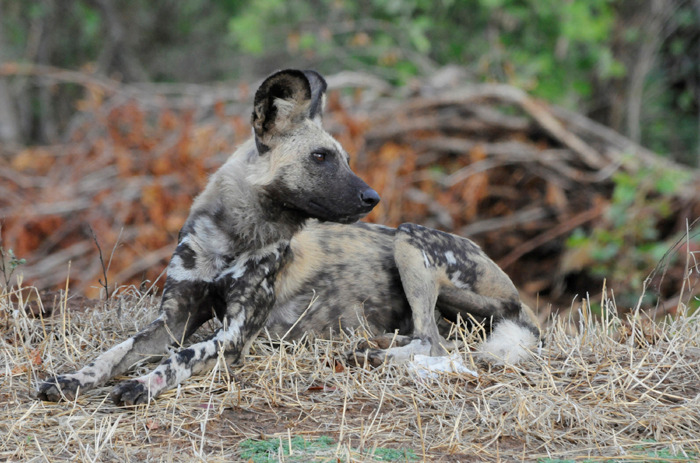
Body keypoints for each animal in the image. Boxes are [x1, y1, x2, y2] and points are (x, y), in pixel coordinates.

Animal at [37, 69, 540, 406]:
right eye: (321, 157)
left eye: (344, 157)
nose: (372, 197)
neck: (232, 239)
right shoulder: (171, 322)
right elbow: (113, 352)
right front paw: (71, 380)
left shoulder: (232, 336)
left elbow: (177, 359)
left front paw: (142, 384)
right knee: (427, 336)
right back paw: (372, 347)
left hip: (408, 239)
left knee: (434, 343)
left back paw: (374, 357)